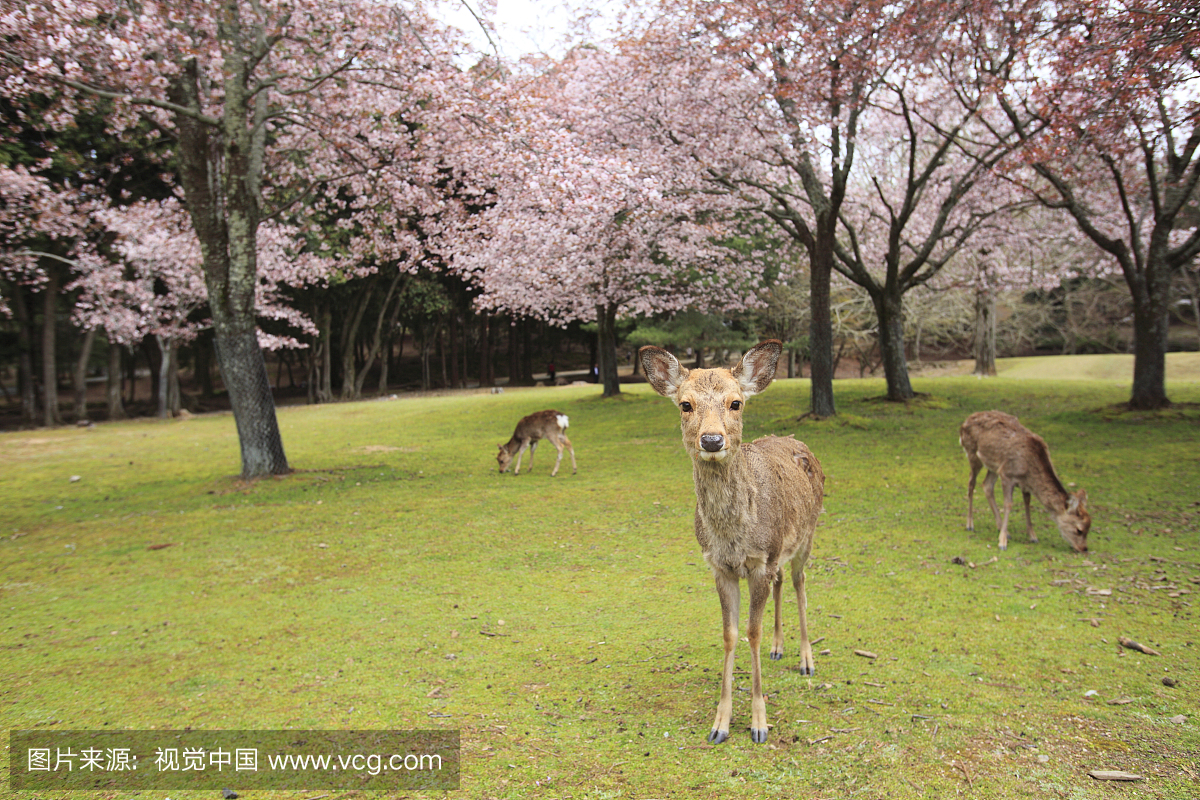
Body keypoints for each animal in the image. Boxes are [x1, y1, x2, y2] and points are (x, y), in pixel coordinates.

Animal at [638, 338, 825, 743]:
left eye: (736, 403)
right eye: (685, 404)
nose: (711, 440)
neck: (734, 537)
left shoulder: (759, 563)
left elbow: (752, 633)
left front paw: (759, 723)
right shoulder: (720, 566)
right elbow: (729, 634)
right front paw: (720, 724)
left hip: (808, 533)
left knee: (800, 581)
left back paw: (806, 659)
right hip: (779, 551)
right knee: (783, 580)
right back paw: (778, 648)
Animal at [960, 410, 1094, 554]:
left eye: (1089, 528)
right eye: (1079, 530)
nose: (1084, 548)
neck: (1029, 471)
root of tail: (965, 421)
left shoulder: (1024, 483)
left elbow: (1027, 503)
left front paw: (1033, 536)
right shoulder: (1007, 474)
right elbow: (1008, 504)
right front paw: (1002, 542)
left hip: (993, 466)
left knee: (987, 486)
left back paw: (1000, 527)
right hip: (972, 453)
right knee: (971, 482)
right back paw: (970, 524)